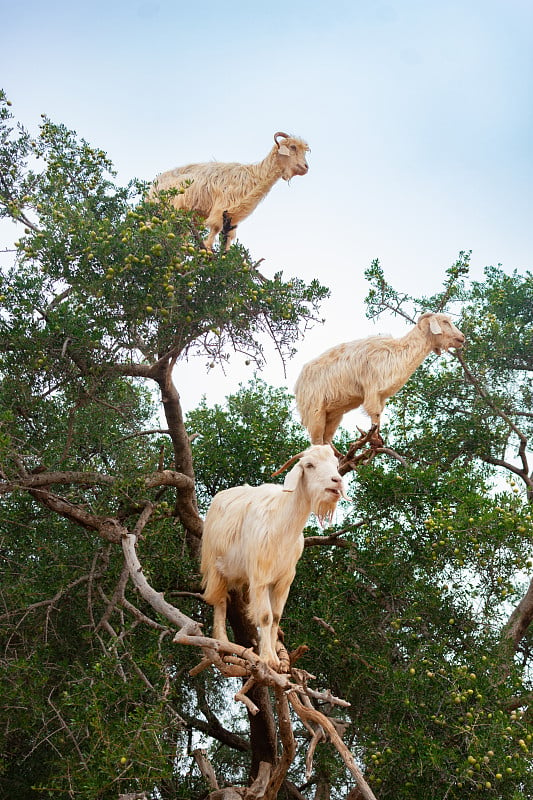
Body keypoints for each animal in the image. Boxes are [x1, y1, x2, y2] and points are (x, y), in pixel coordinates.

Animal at [148, 131, 310, 250]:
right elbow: (214, 228)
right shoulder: (221, 207)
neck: (253, 176)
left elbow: (228, 238)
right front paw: (207, 249)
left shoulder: (232, 218)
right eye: (293, 147)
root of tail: (153, 186)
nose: (306, 167)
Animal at [200, 444, 344, 668]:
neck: (282, 525)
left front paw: (276, 659)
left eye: (336, 465)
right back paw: (222, 642)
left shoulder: (284, 579)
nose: (336, 481)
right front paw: (267, 658)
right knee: (220, 601)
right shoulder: (259, 575)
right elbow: (266, 616)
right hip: (215, 566)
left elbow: (275, 616)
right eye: (309, 465)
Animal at [294, 312, 464, 446]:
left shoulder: (381, 396)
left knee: (326, 439)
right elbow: (374, 414)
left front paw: (378, 440)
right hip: (315, 411)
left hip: (334, 414)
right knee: (316, 440)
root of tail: (298, 384)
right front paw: (374, 440)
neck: (397, 352)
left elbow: (379, 416)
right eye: (445, 321)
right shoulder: (372, 389)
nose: (462, 337)